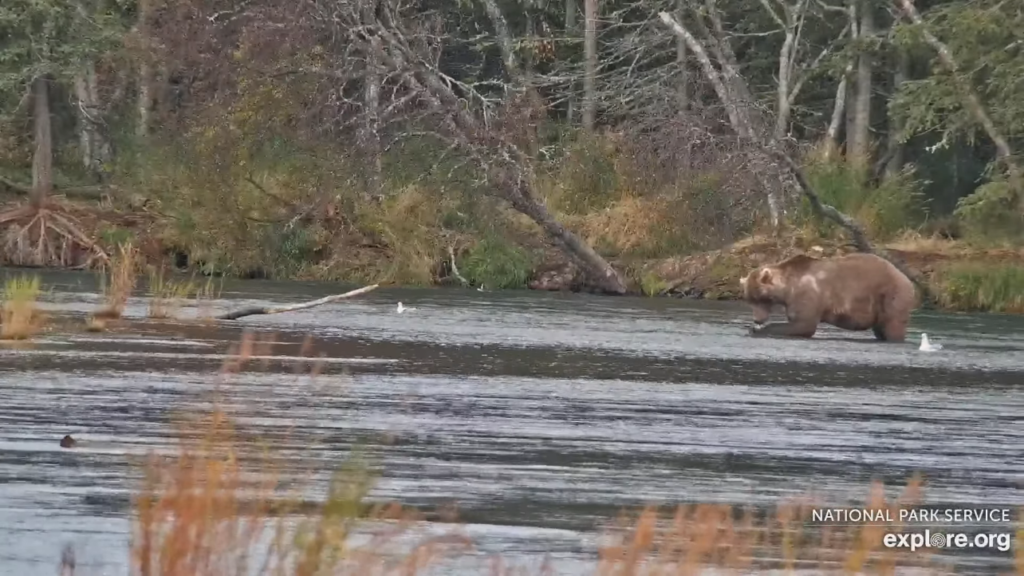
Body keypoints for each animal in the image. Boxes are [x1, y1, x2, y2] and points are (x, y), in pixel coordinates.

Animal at [741, 252, 917, 340]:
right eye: (749, 300)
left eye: (760, 298)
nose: (757, 319)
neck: (788, 287)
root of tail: (907, 279)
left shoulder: (807, 292)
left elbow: (804, 324)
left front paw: (758, 330)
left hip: (890, 294)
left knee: (893, 325)